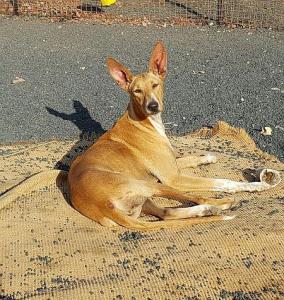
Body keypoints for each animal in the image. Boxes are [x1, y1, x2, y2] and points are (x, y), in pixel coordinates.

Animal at [67, 41, 280, 231]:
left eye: (155, 85)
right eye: (137, 91)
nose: (153, 106)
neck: (144, 121)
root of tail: (104, 205)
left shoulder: (171, 168)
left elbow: (189, 158)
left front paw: (207, 157)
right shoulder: (172, 177)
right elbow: (223, 182)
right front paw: (255, 185)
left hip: (147, 198)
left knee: (167, 214)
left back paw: (205, 210)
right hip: (154, 185)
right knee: (202, 197)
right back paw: (225, 202)